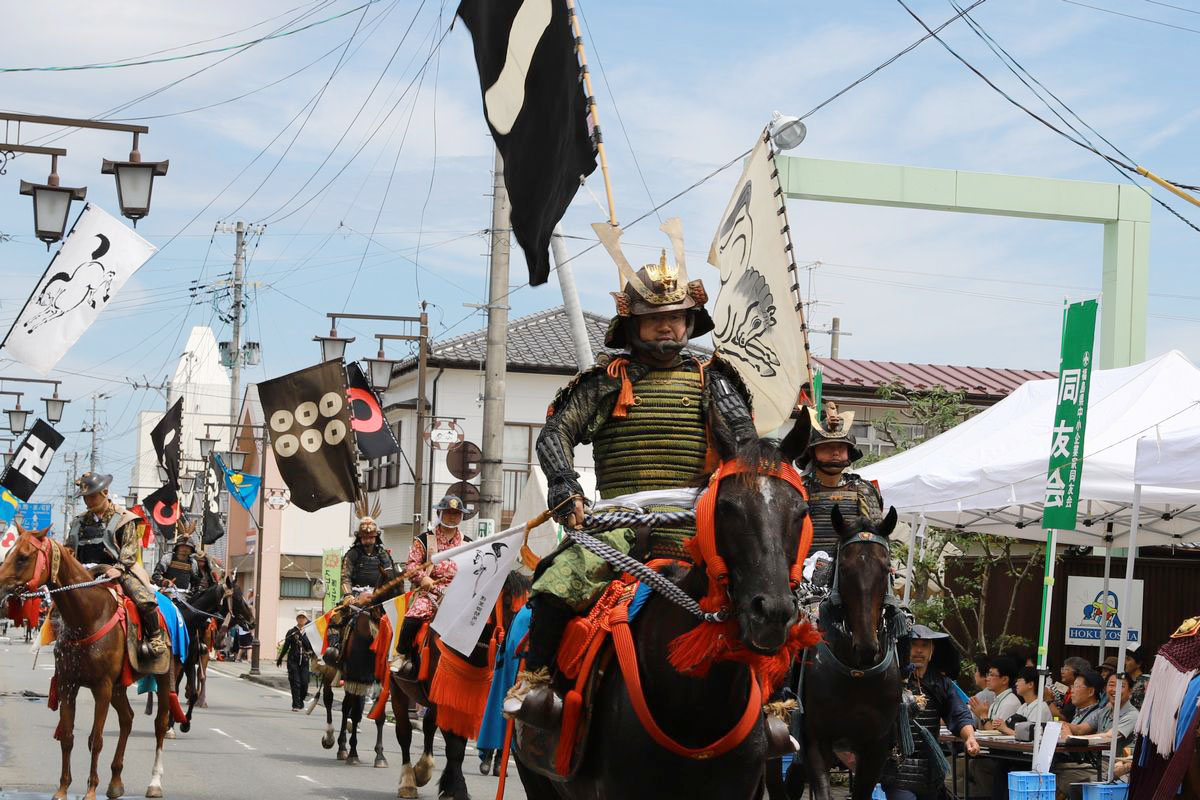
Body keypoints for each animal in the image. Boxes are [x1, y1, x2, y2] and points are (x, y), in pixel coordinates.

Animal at [0, 527, 177, 796]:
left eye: (23, 557)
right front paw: (62, 790)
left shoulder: (101, 687)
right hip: (119, 686)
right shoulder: (68, 684)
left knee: (160, 723)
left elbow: (96, 739)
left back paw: (154, 783)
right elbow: (67, 737)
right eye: (9, 552)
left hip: (164, 675)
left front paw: (91, 790)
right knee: (127, 719)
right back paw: (115, 782)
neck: (87, 616)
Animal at [516, 417, 816, 800]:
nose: (772, 613)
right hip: (535, 776)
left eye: (801, 512)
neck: (696, 709)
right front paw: (571, 504)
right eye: (726, 507)